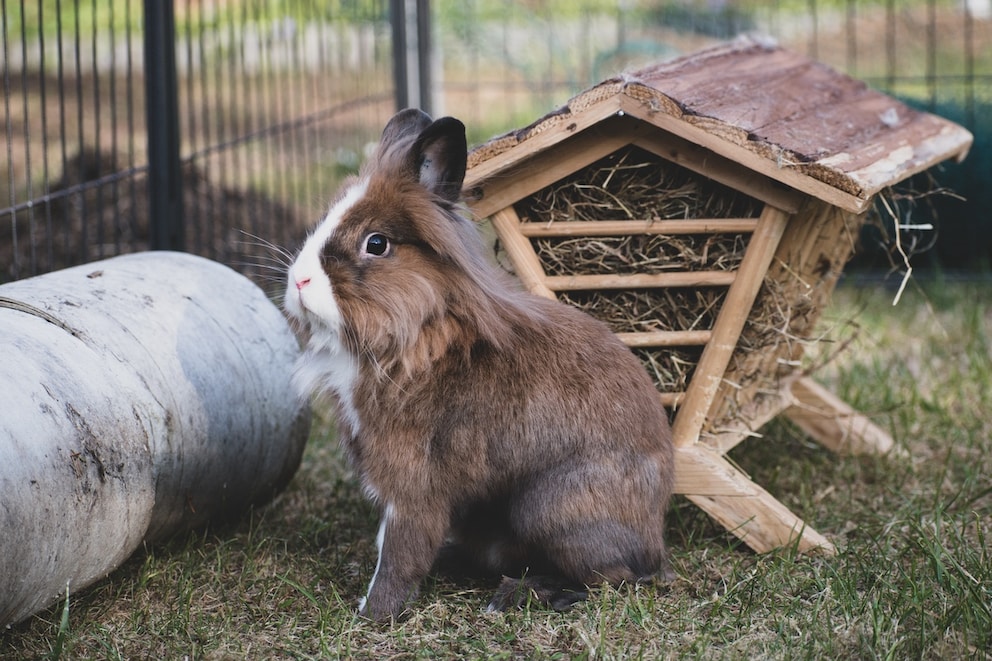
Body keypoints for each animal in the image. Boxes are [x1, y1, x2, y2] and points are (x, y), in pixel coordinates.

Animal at [284, 108, 675, 622]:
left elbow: (400, 552)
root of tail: (655, 540)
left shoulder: (412, 487)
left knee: (613, 580)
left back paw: (526, 595)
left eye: (377, 244)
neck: (415, 336)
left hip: (551, 509)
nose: (298, 280)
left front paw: (371, 615)